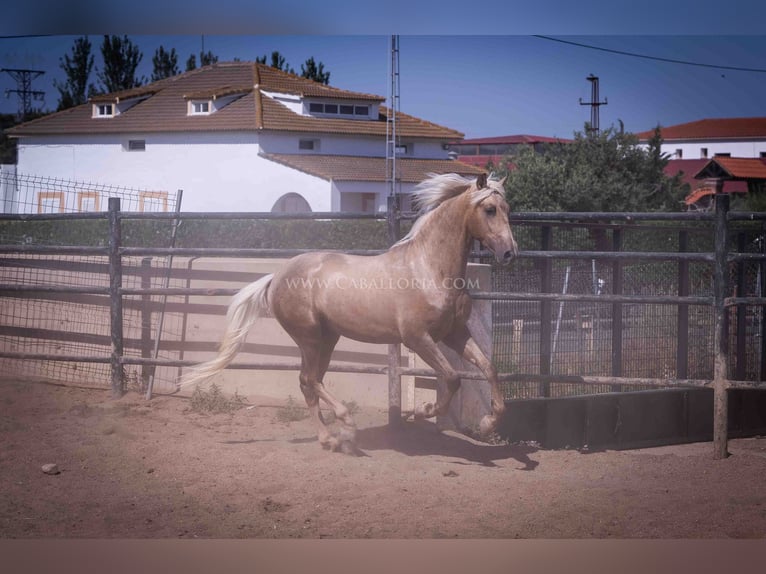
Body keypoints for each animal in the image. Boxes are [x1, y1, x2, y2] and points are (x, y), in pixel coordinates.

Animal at [181, 172, 520, 454]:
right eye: (490, 209)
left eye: (508, 208)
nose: (509, 254)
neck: (428, 269)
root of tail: (276, 276)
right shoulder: (417, 338)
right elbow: (452, 377)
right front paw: (423, 411)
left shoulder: (454, 334)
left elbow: (489, 368)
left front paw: (488, 423)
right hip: (309, 337)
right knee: (309, 379)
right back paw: (346, 426)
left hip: (327, 338)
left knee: (308, 382)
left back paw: (329, 439)